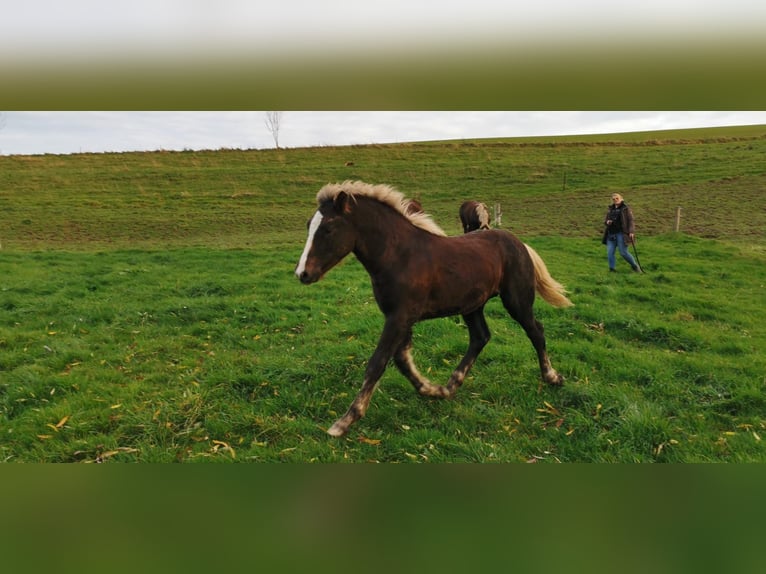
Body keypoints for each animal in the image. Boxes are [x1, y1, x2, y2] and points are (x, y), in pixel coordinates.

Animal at [295, 181, 573, 437]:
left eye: (329, 228)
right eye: (309, 225)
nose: (302, 273)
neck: (400, 256)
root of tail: (519, 243)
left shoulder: (400, 317)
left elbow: (378, 362)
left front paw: (344, 421)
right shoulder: (400, 317)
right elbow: (402, 359)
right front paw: (432, 390)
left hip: (517, 300)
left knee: (536, 331)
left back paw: (552, 377)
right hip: (472, 305)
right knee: (480, 337)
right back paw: (451, 385)